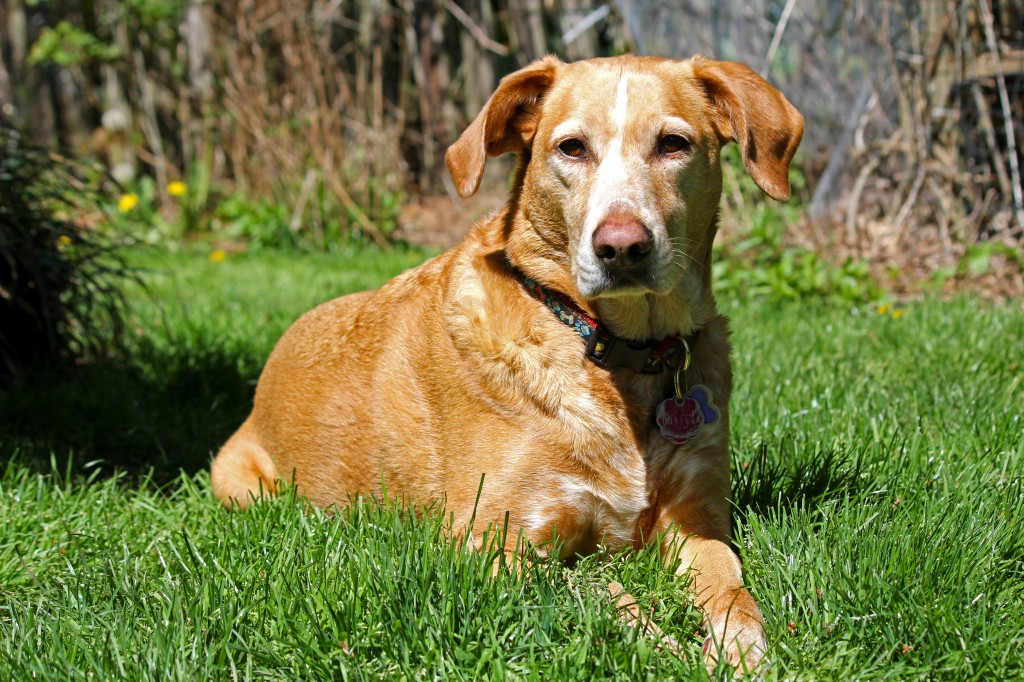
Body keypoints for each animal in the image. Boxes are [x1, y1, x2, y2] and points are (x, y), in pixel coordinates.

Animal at [211, 55, 802, 671]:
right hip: (241, 483)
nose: (621, 247)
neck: (610, 347)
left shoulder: (697, 519)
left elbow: (731, 589)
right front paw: (664, 647)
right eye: (571, 148)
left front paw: (741, 648)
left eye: (672, 144)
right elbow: (600, 588)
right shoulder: (495, 541)